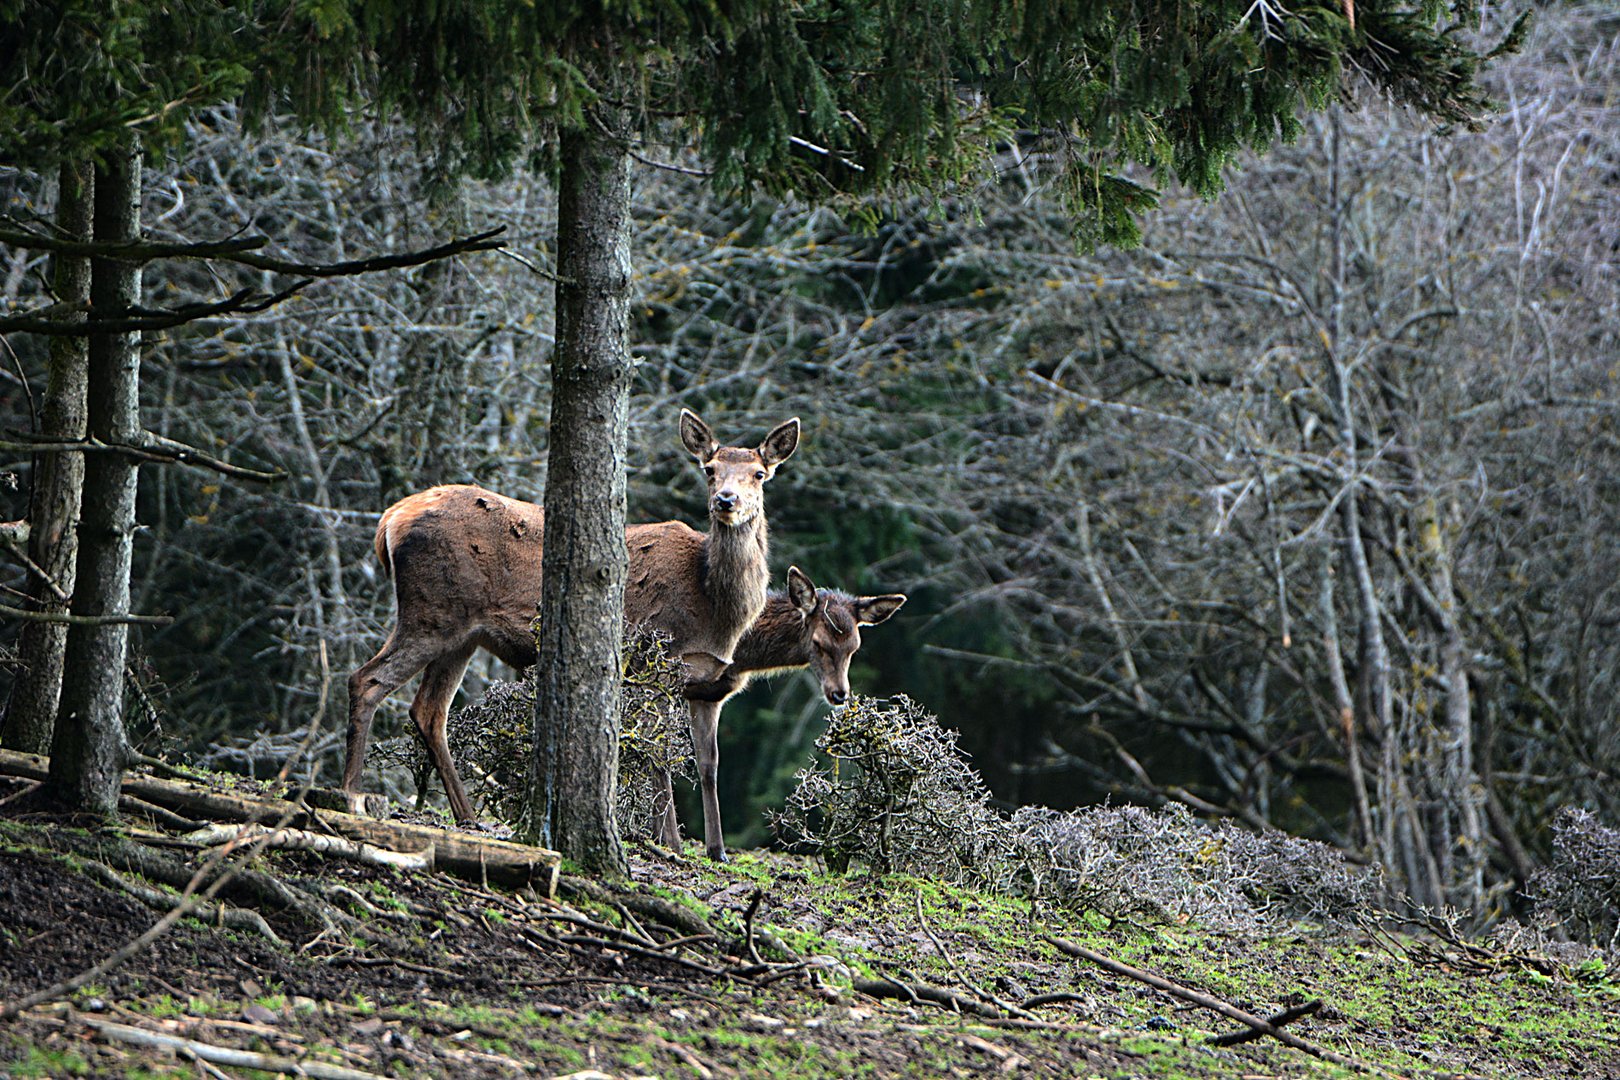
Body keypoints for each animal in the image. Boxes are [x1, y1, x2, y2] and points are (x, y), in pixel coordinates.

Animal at [341, 409, 797, 841]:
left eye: (759, 473)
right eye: (709, 469)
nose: (726, 500)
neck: (716, 608)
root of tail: (389, 520)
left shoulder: (702, 679)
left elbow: (704, 763)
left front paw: (706, 847)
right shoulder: (657, 661)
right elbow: (658, 755)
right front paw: (670, 842)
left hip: (462, 634)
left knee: (429, 710)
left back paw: (467, 816)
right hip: (432, 611)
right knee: (367, 680)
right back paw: (353, 794)